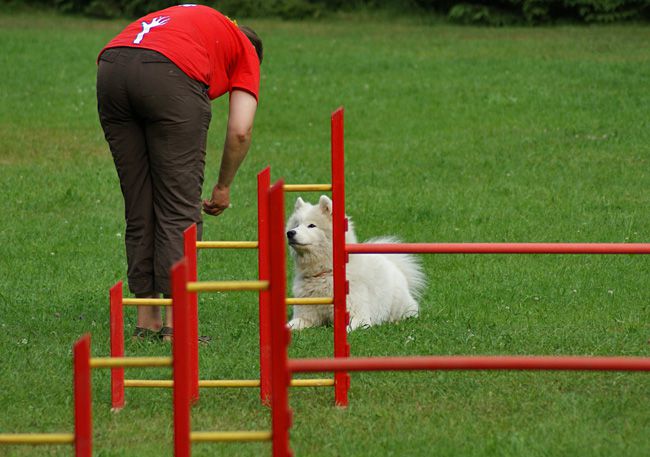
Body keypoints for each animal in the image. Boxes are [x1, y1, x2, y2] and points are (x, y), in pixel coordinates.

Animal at [284, 196, 426, 332]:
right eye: (296, 225)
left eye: (312, 225)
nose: (290, 233)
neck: (324, 273)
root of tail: (390, 262)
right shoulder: (306, 316)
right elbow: (290, 324)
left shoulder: (358, 315)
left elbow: (351, 327)